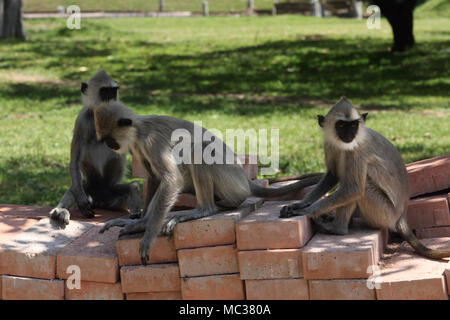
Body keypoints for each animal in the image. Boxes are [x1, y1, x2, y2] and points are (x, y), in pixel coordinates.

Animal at [48, 70, 142, 225]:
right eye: (104, 92)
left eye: (113, 92)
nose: (110, 100)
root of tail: (100, 200)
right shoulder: (80, 121)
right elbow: (74, 162)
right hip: (89, 188)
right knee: (75, 187)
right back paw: (60, 211)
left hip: (112, 191)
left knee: (132, 186)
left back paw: (135, 213)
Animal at [96, 101, 320, 264]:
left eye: (110, 139)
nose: (109, 146)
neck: (140, 130)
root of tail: (245, 179)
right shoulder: (138, 146)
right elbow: (154, 178)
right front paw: (140, 223)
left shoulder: (151, 141)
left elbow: (171, 179)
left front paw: (148, 233)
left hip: (232, 184)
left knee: (199, 148)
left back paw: (204, 210)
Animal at [280, 97, 448, 260]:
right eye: (341, 125)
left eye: (353, 125)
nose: (349, 134)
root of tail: (401, 215)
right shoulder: (329, 144)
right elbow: (332, 175)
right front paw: (300, 204)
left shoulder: (357, 150)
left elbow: (353, 189)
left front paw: (306, 211)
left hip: (383, 212)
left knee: (361, 187)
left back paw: (338, 229)